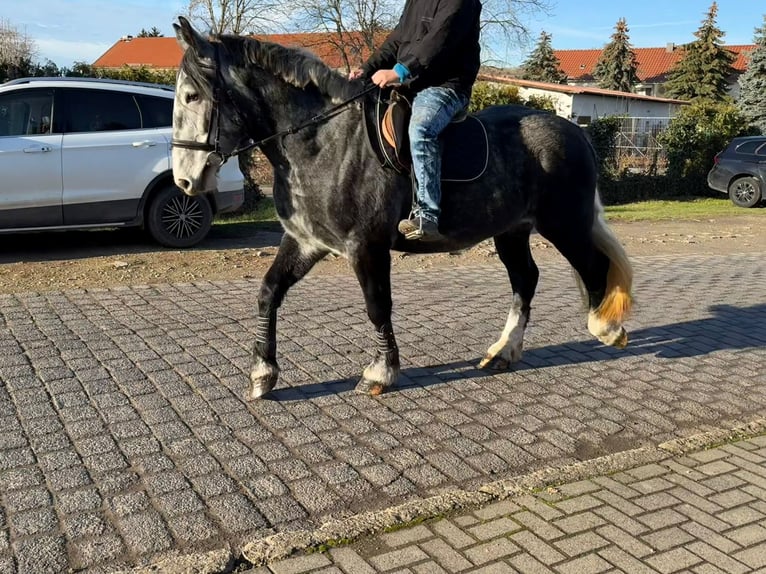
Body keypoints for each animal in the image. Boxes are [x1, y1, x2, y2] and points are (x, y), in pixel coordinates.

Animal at [172, 18, 636, 402]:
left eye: (192, 95)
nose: (184, 180)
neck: (322, 140)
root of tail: (574, 132)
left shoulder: (366, 247)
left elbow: (377, 305)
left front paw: (380, 373)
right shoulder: (306, 242)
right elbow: (268, 292)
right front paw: (262, 373)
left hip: (564, 223)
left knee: (592, 266)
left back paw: (606, 329)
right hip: (512, 230)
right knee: (526, 279)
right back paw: (504, 352)